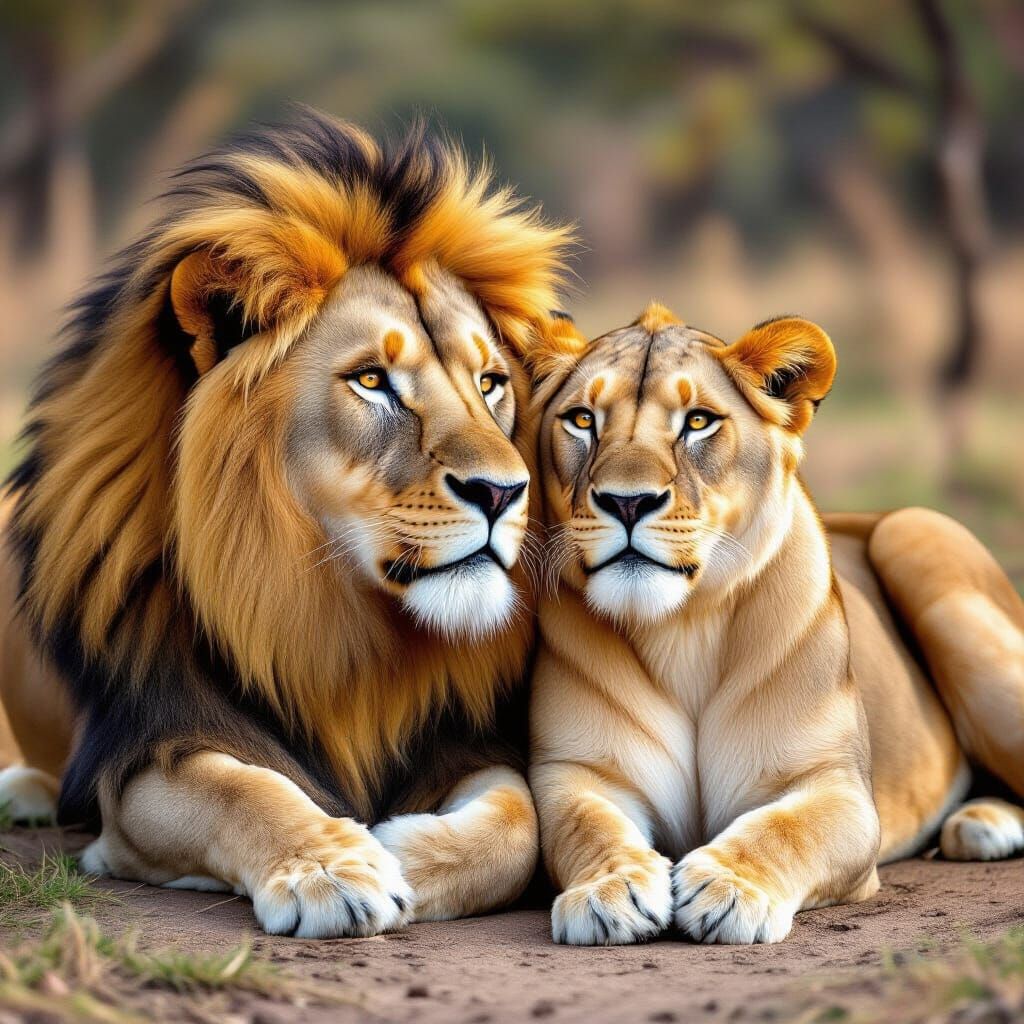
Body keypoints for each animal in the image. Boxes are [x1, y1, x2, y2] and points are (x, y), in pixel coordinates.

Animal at [0, 110, 575, 937]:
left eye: (491, 382)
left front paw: (395, 846)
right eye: (371, 380)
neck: (334, 615)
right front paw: (332, 869)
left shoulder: (464, 740)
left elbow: (517, 822)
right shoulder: (150, 748)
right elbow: (243, 790)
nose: (504, 492)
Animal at [528, 304, 1024, 945]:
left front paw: (727, 887)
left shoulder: (839, 787)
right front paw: (609, 889)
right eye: (583, 420)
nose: (627, 502)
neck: (683, 628)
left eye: (698, 422)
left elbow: (787, 829)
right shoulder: (573, 773)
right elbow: (587, 825)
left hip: (919, 543)